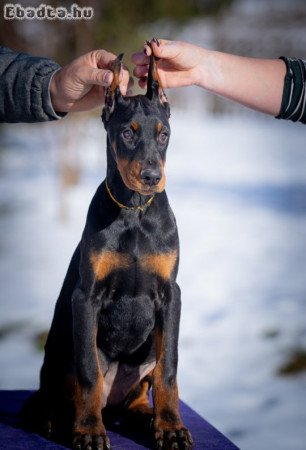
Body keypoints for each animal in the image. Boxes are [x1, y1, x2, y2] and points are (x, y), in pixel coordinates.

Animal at [21, 43, 194, 450]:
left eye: (163, 134)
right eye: (128, 133)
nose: (152, 177)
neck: (133, 211)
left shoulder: (171, 295)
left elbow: (168, 370)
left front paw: (170, 427)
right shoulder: (87, 296)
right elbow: (89, 373)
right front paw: (88, 431)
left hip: (143, 360)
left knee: (140, 391)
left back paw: (146, 416)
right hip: (60, 357)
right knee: (52, 395)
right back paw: (55, 420)